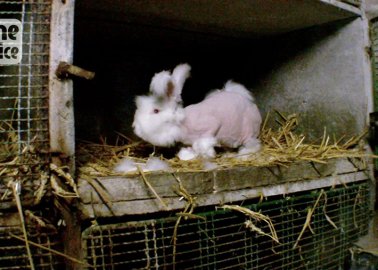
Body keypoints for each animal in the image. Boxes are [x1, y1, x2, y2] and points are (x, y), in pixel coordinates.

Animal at [134, 63, 262, 160]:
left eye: (155, 111)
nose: (137, 128)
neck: (182, 124)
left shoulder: (212, 125)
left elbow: (202, 143)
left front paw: (207, 154)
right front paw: (187, 155)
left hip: (248, 131)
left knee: (253, 145)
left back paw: (244, 154)